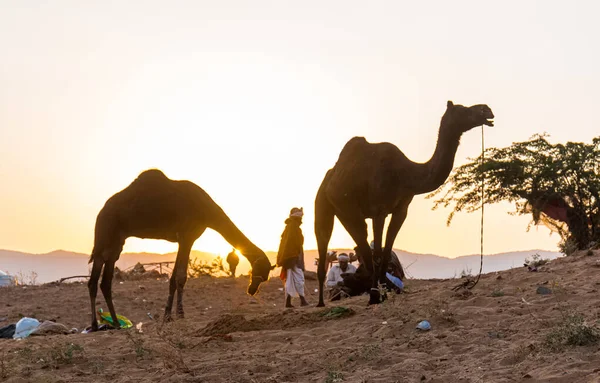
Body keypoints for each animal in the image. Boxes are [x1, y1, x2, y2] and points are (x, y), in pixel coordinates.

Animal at [87, 170, 274, 332]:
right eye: (260, 273)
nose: (252, 290)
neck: (207, 210)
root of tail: (101, 212)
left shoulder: (183, 239)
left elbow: (173, 278)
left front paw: (168, 316)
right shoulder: (187, 236)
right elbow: (181, 276)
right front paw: (181, 314)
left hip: (116, 242)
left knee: (103, 281)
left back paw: (112, 323)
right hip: (106, 232)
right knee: (96, 279)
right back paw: (102, 324)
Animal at [314, 100, 492, 308]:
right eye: (462, 110)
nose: (487, 110)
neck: (407, 175)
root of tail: (331, 175)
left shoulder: (401, 209)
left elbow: (386, 250)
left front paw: (384, 293)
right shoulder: (379, 210)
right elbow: (378, 252)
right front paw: (376, 296)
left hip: (346, 212)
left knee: (361, 242)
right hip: (324, 204)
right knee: (325, 240)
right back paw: (322, 302)